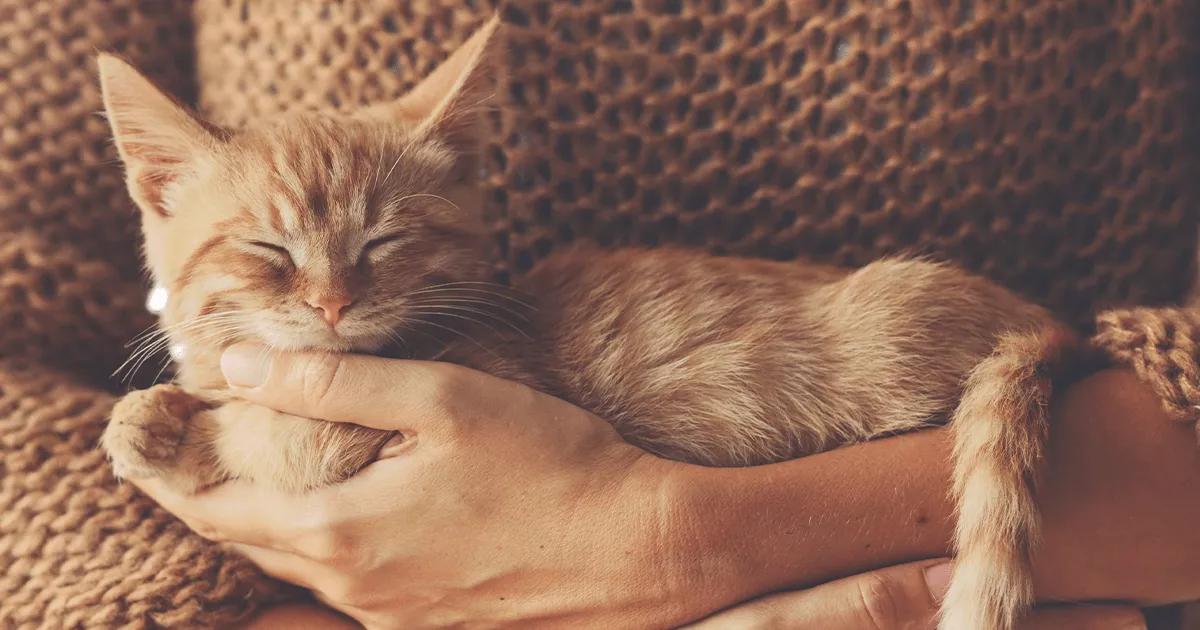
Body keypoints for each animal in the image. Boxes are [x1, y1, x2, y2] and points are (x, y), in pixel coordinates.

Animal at [100, 15, 1080, 628]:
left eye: (384, 241)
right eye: (267, 248)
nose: (332, 303)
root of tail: (1042, 321)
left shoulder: (415, 403)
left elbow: (280, 434)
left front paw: (184, 431)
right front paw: (155, 413)